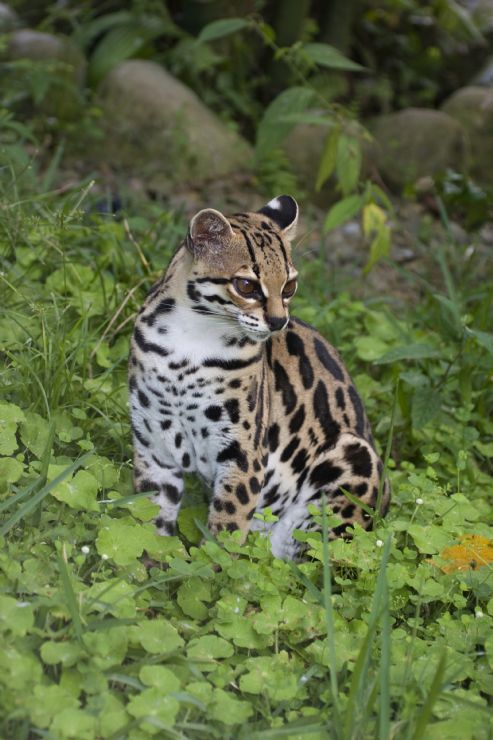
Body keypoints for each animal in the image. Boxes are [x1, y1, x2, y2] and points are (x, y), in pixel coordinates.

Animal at [130, 194, 388, 556]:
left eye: (289, 286)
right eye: (247, 286)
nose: (279, 322)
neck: (190, 339)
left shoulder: (244, 453)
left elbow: (226, 530)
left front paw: (211, 566)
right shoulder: (154, 443)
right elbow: (149, 521)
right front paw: (149, 563)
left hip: (356, 458)